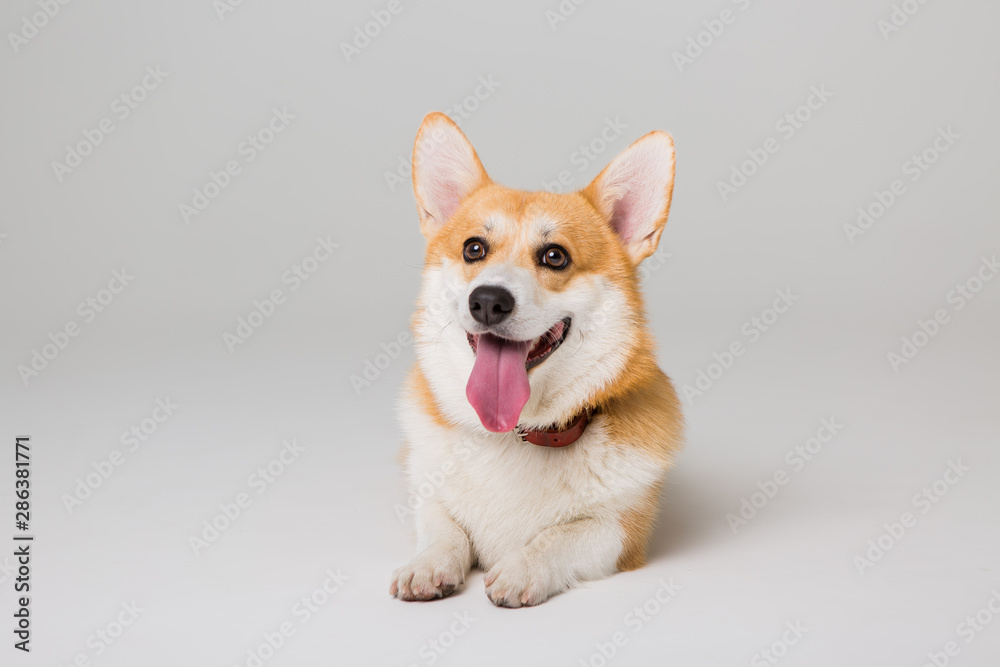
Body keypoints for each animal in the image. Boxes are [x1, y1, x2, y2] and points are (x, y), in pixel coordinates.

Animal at [386, 115, 684, 612]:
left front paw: (523, 567)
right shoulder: (427, 492)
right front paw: (429, 564)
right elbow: (443, 526)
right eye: (473, 249)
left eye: (554, 256)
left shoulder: (620, 531)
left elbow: (561, 537)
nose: (488, 301)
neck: (518, 433)